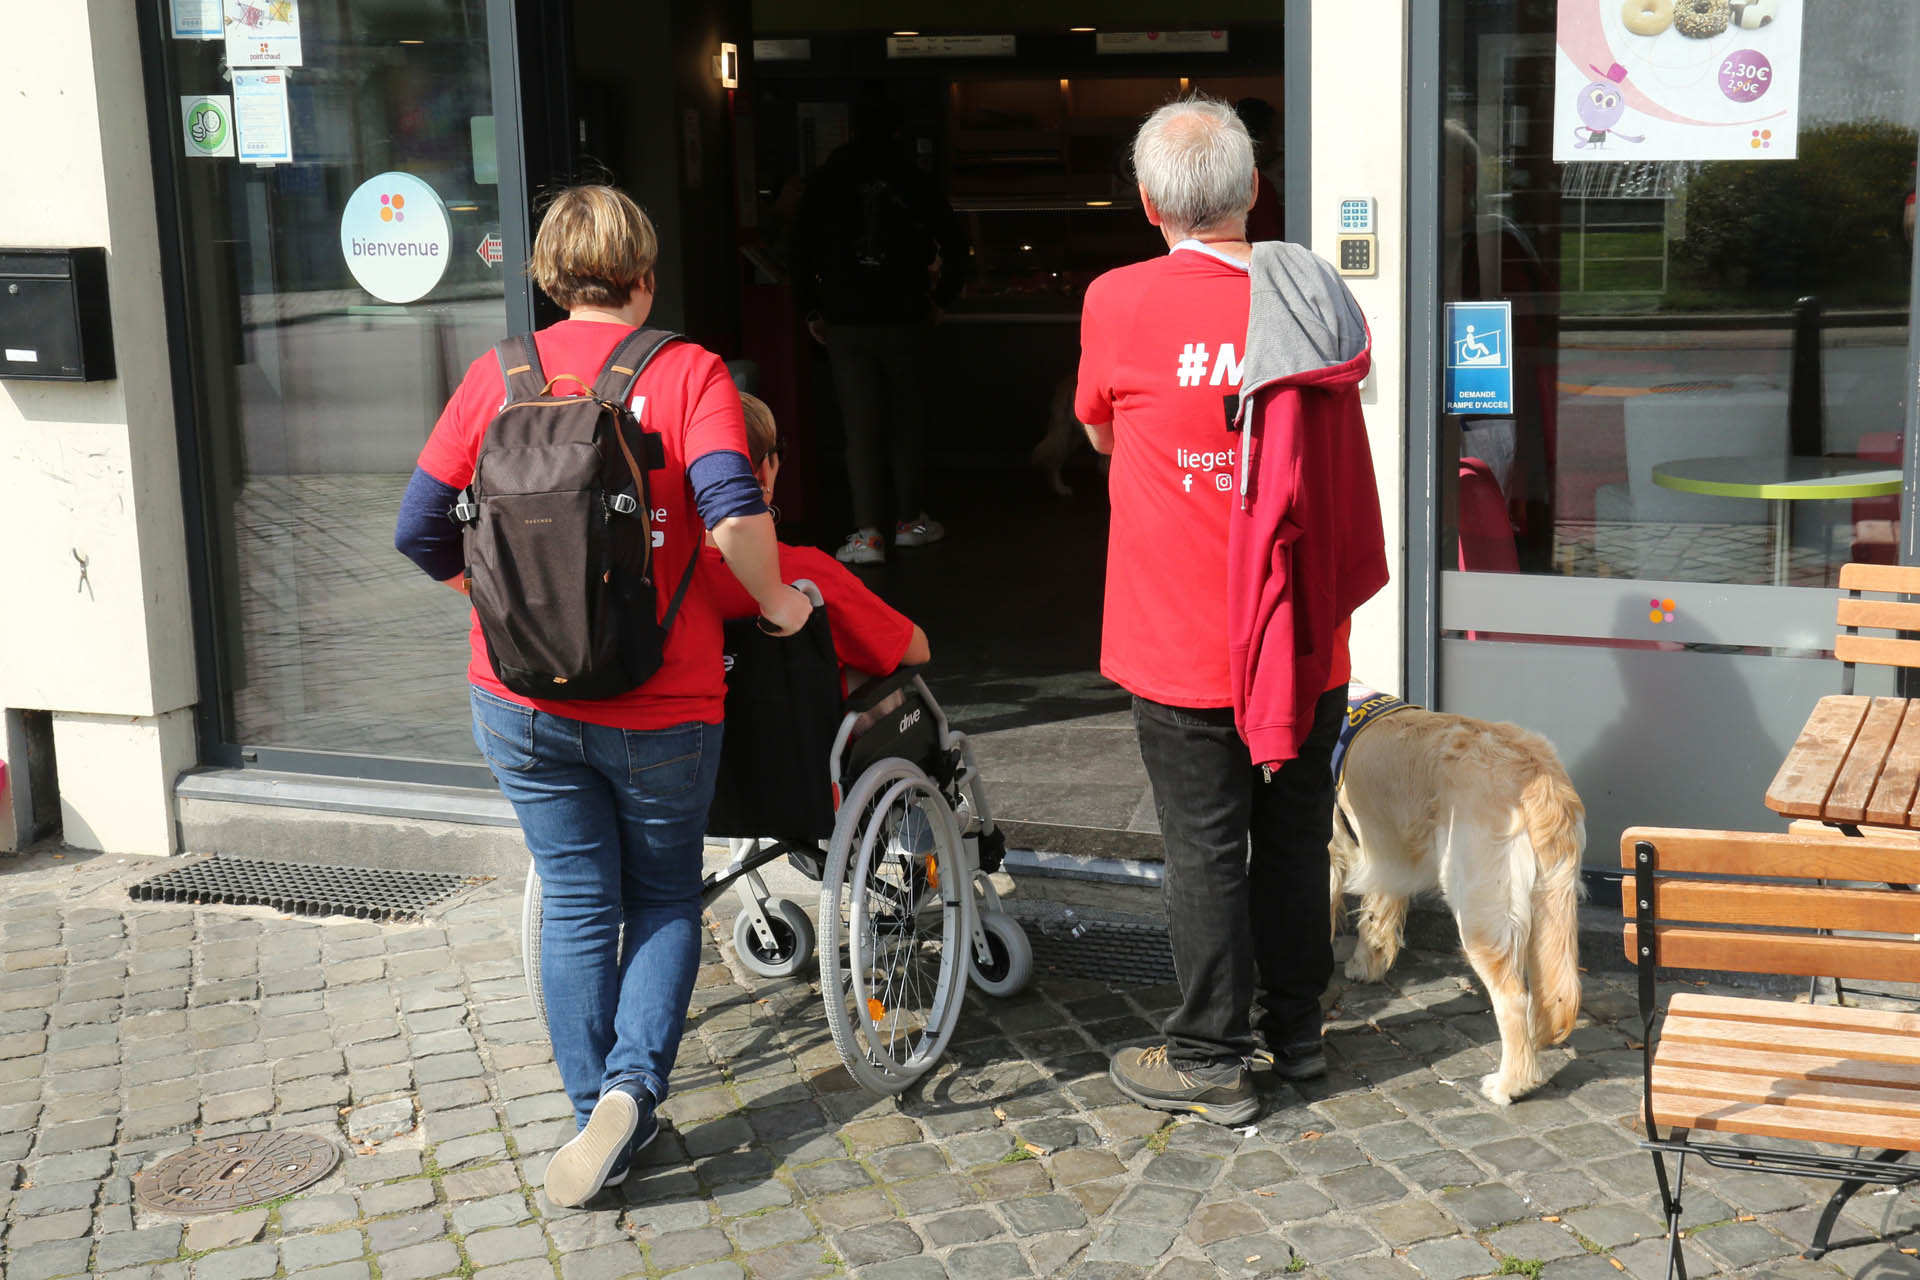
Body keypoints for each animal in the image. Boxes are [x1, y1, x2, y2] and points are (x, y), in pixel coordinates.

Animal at [1328, 694, 1582, 1105]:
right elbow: (1378, 915)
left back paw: (1510, 1084)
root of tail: (1539, 774)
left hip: (1479, 906)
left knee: (1513, 998)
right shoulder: (1387, 847)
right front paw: (1366, 965)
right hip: (1547, 905)